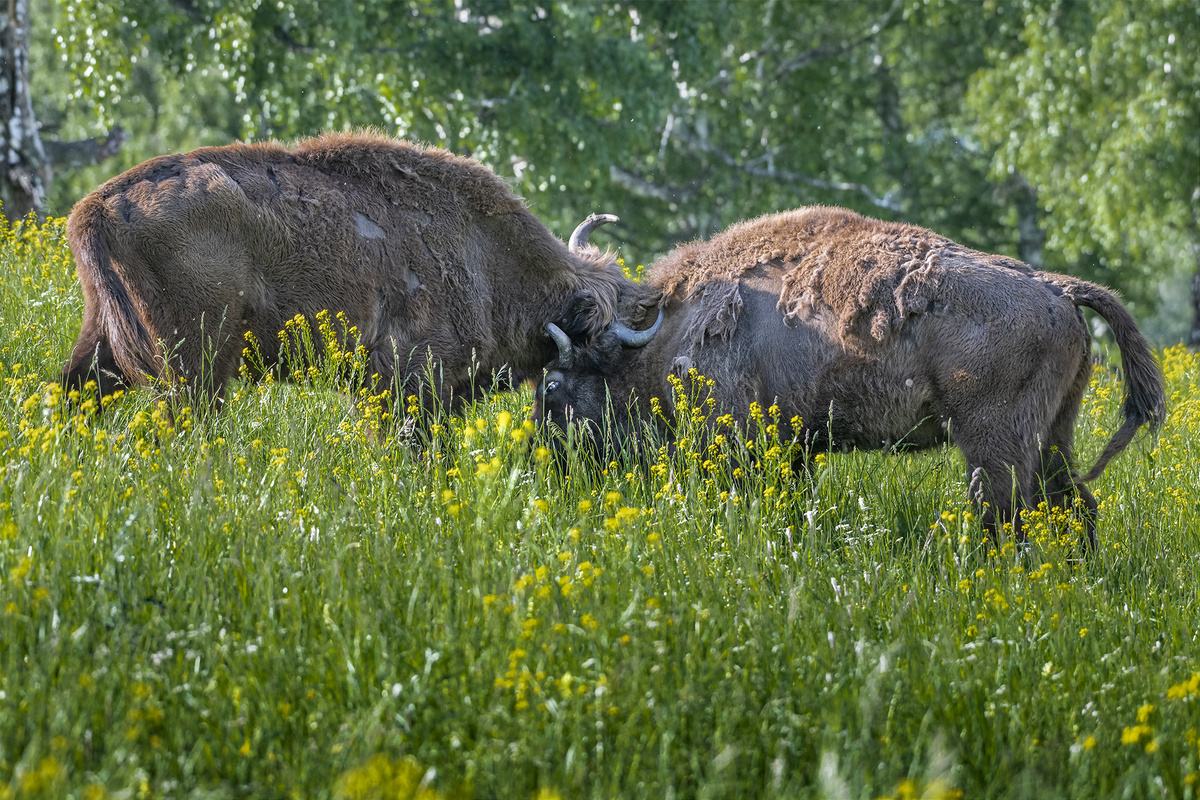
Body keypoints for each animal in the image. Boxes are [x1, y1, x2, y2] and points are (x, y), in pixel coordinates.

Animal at [62, 131, 648, 412]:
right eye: (601, 354)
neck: (484, 253)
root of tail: (94, 208)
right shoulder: (410, 379)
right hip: (196, 368)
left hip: (102, 344)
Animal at [540, 205, 1166, 551]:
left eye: (551, 384)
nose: (545, 461)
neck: (670, 328)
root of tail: (1057, 288)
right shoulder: (795, 446)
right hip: (1055, 433)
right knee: (1074, 507)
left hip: (995, 441)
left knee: (1006, 515)